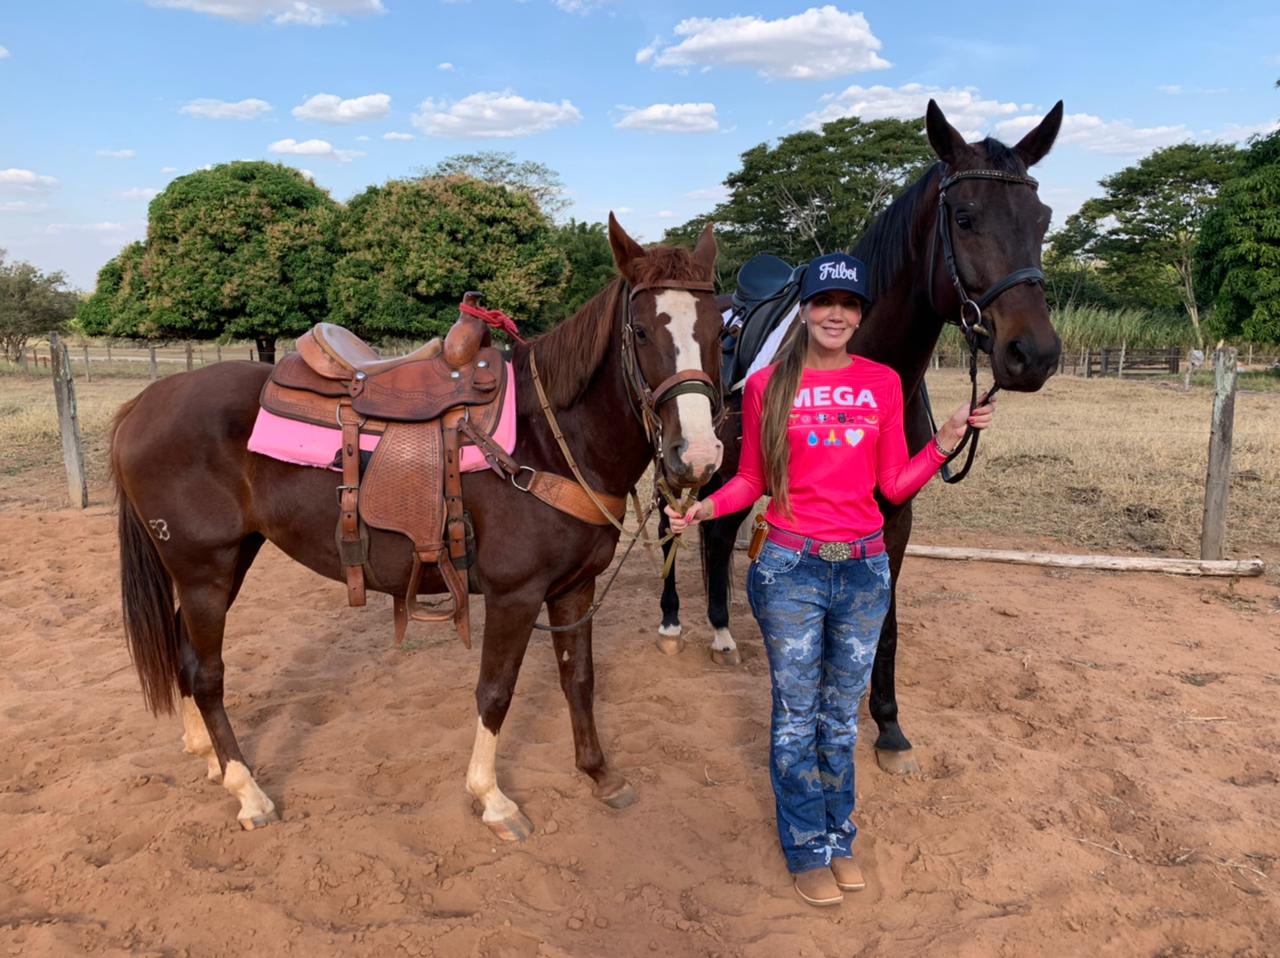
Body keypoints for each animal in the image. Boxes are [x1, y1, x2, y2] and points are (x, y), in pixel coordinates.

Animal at [113, 216, 727, 840]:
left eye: (718, 330)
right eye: (642, 332)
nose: (696, 457)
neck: (552, 440)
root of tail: (144, 402)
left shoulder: (574, 588)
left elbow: (578, 678)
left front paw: (600, 774)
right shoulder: (514, 595)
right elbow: (495, 692)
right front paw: (492, 800)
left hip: (227, 562)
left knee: (186, 654)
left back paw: (209, 759)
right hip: (204, 571)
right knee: (207, 673)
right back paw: (248, 791)